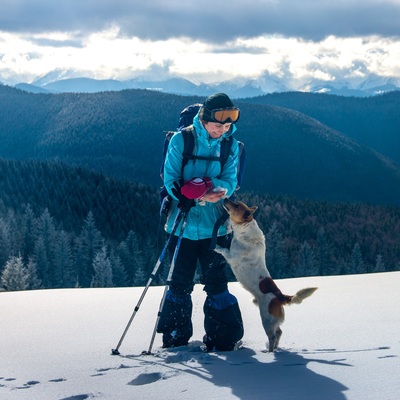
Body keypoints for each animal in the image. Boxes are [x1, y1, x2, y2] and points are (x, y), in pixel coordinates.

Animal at [214, 198, 318, 352]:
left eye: (237, 205)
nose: (226, 198)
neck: (245, 231)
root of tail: (281, 296)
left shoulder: (231, 256)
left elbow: (223, 250)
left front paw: (215, 246)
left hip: (266, 320)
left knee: (273, 335)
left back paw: (269, 351)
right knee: (279, 332)